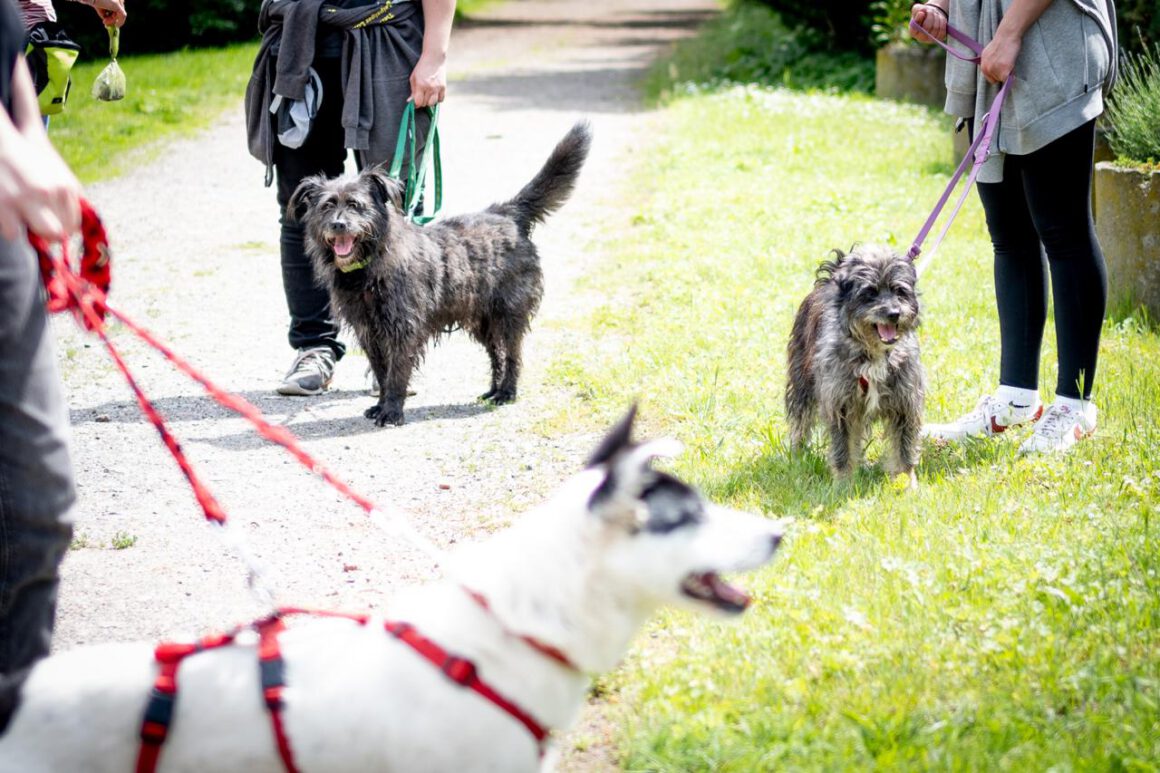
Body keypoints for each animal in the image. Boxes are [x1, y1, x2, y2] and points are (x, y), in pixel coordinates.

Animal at [288, 120, 593, 424]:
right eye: (327, 206)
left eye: (355, 205)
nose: (338, 225)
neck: (369, 266)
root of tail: (507, 213)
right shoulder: (369, 333)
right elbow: (381, 372)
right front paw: (381, 404)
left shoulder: (403, 329)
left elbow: (396, 373)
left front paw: (391, 411)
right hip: (483, 320)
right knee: (497, 353)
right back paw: (493, 390)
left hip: (508, 313)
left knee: (512, 354)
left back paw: (507, 392)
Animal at [788, 243, 923, 485]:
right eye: (870, 293)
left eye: (899, 291)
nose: (894, 313)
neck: (874, 354)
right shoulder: (839, 405)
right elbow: (842, 449)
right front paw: (843, 484)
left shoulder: (905, 404)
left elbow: (904, 449)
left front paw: (908, 483)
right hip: (802, 382)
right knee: (800, 419)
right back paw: (798, 453)